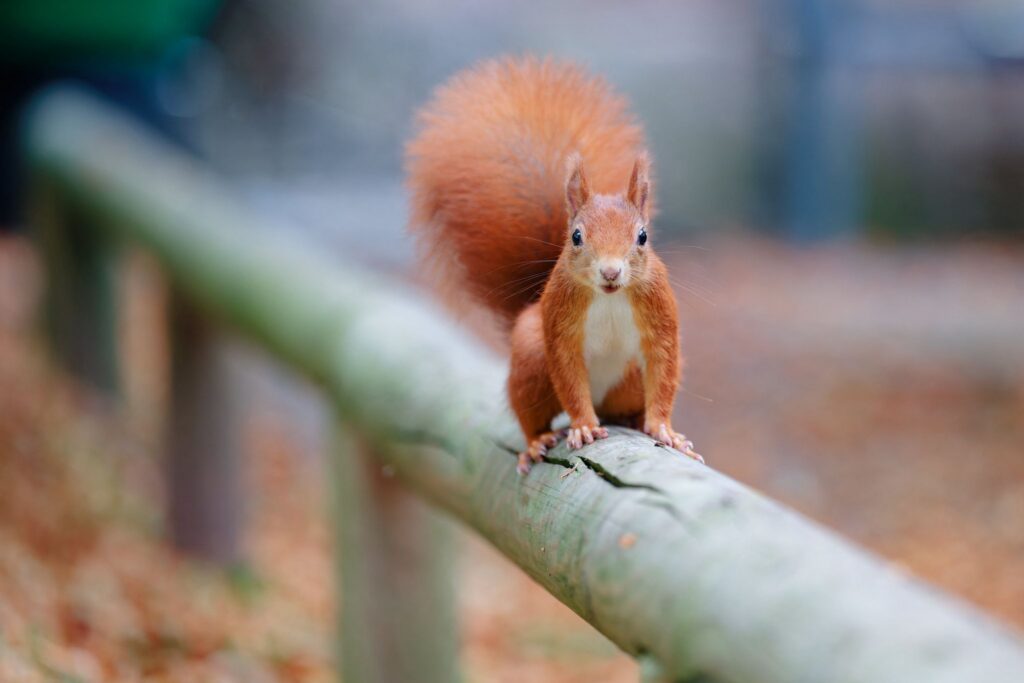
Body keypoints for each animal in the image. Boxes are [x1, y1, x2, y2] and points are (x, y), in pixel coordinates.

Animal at [406, 57, 701, 474]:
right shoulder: (560, 323)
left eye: (643, 236)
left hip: (627, 379)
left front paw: (664, 430)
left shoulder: (659, 312)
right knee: (533, 413)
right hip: (531, 359)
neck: (609, 297)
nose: (611, 272)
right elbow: (569, 378)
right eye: (576, 236)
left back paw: (632, 420)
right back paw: (538, 441)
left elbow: (663, 370)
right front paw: (584, 427)